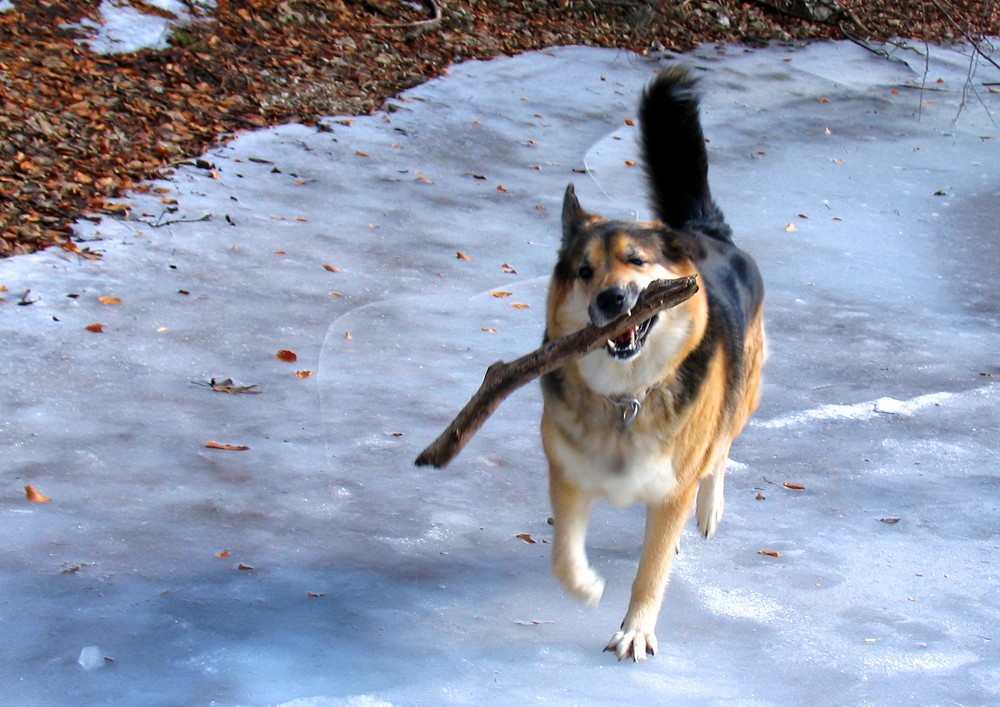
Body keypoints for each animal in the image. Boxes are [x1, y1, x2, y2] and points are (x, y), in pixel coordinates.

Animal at [540, 63, 764, 660]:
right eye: (584, 272)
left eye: (636, 261)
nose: (611, 300)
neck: (628, 395)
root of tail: (704, 233)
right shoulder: (568, 475)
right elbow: (563, 556)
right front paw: (588, 587)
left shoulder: (670, 491)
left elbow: (651, 570)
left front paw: (636, 629)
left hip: (744, 393)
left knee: (722, 447)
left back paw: (709, 509)